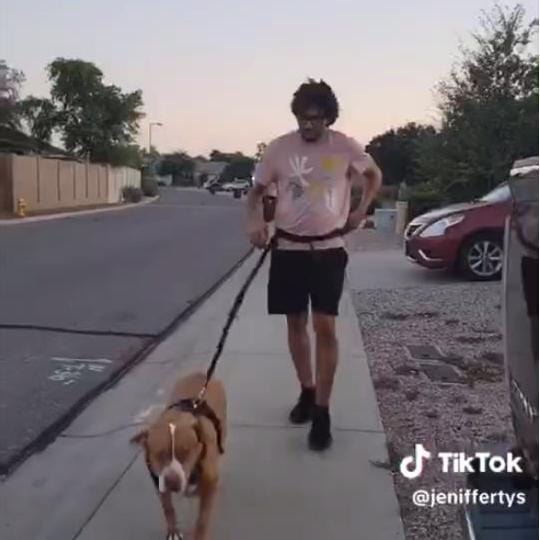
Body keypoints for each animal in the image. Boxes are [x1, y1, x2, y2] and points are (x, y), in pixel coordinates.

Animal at [131, 372, 227, 540]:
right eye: (159, 454)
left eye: (186, 452)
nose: (172, 482)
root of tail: (201, 373)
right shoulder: (159, 482)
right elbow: (168, 508)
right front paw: (173, 531)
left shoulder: (210, 483)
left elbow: (203, 518)